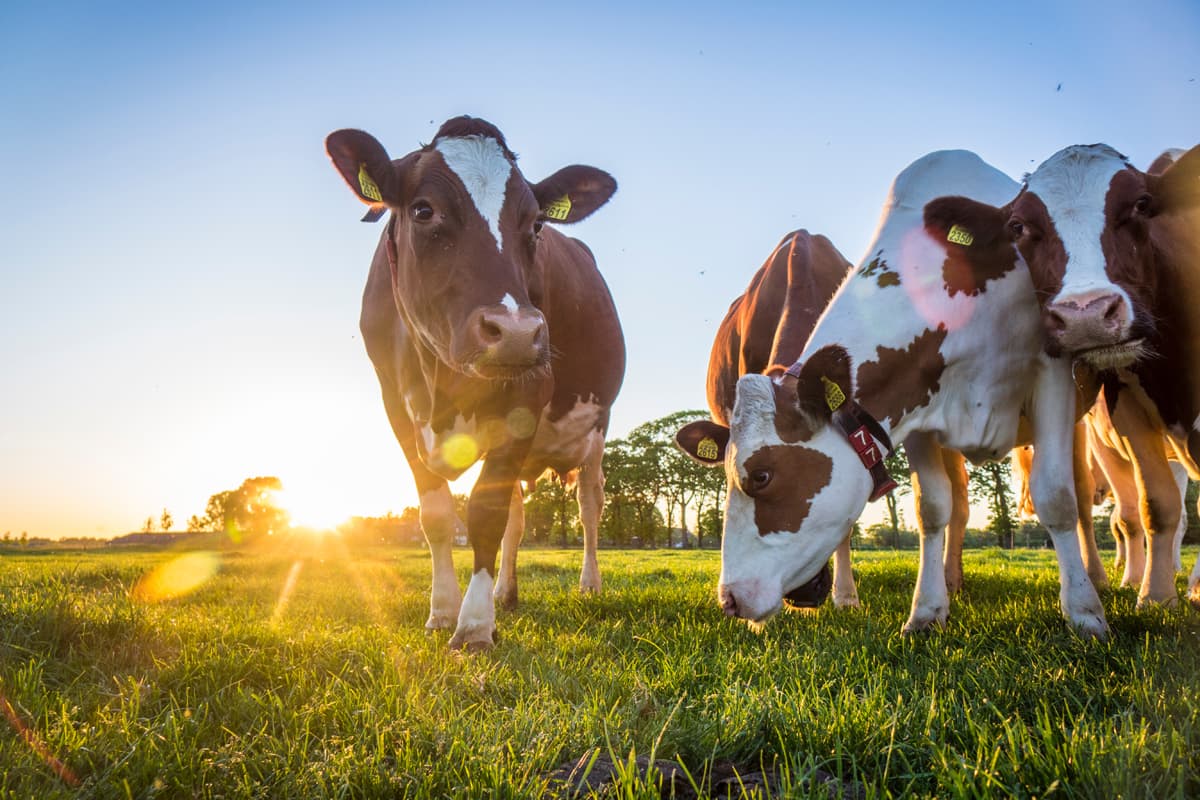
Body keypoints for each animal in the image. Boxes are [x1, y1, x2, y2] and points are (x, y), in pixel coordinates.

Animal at [328, 113, 628, 652]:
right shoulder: (395, 406)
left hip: (597, 427)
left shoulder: (529, 395)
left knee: (589, 504)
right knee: (518, 516)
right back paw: (506, 593)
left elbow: (485, 515)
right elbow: (437, 515)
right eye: (423, 210)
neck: (441, 382)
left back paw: (588, 585)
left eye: (536, 224)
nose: (516, 332)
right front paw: (443, 611)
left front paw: (472, 627)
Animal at [936, 143, 1200, 606]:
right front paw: (1154, 595)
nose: (1086, 315)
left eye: (1142, 204)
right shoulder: (1127, 407)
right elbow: (1154, 507)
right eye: (1019, 226)